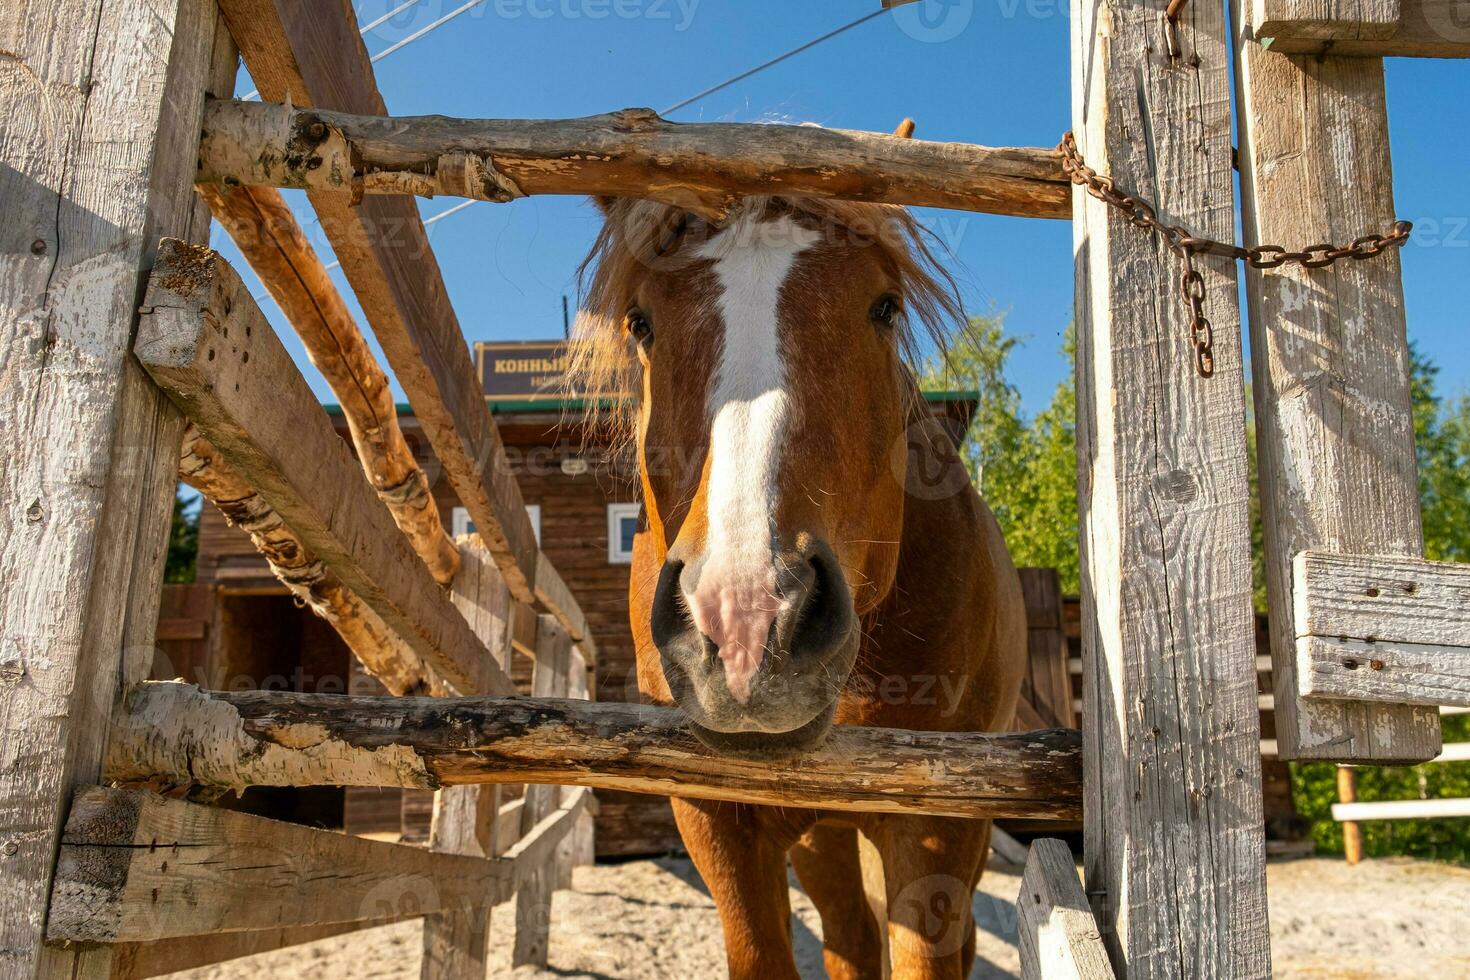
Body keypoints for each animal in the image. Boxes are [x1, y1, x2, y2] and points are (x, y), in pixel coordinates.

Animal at [567, 179, 1029, 975]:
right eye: (641, 322)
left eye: (885, 306)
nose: (747, 623)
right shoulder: (715, 816)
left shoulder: (941, 820)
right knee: (849, 934)